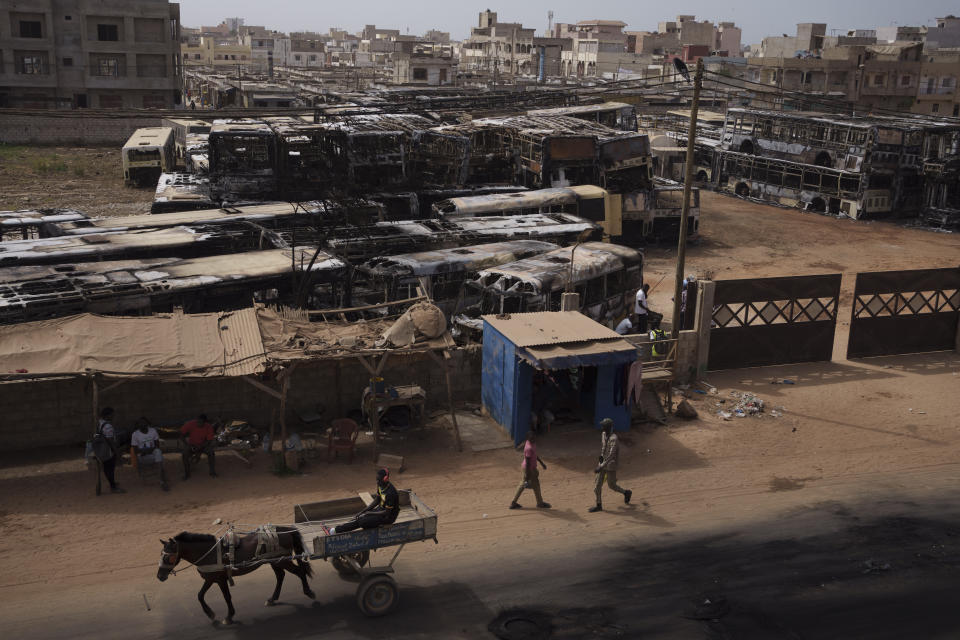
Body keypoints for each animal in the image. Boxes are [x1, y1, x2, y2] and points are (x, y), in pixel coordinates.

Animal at [158, 528, 316, 624]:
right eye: (160, 554)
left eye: (167, 557)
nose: (159, 576)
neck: (209, 553)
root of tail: (284, 530)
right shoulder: (210, 578)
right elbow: (200, 595)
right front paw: (210, 614)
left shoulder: (220, 579)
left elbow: (226, 597)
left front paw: (229, 616)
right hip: (275, 561)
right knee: (280, 576)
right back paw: (272, 599)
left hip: (283, 560)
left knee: (299, 572)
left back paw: (309, 592)